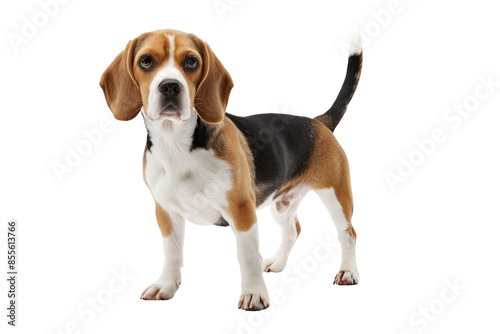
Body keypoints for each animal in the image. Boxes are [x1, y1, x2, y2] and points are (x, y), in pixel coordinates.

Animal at [98, 28, 364, 310]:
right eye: (146, 61)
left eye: (191, 62)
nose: (170, 86)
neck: (176, 145)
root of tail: (319, 122)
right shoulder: (166, 211)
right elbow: (172, 253)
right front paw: (166, 285)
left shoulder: (242, 210)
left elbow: (247, 257)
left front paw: (254, 294)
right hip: (283, 203)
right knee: (294, 230)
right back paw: (277, 263)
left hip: (335, 194)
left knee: (348, 233)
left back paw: (348, 271)